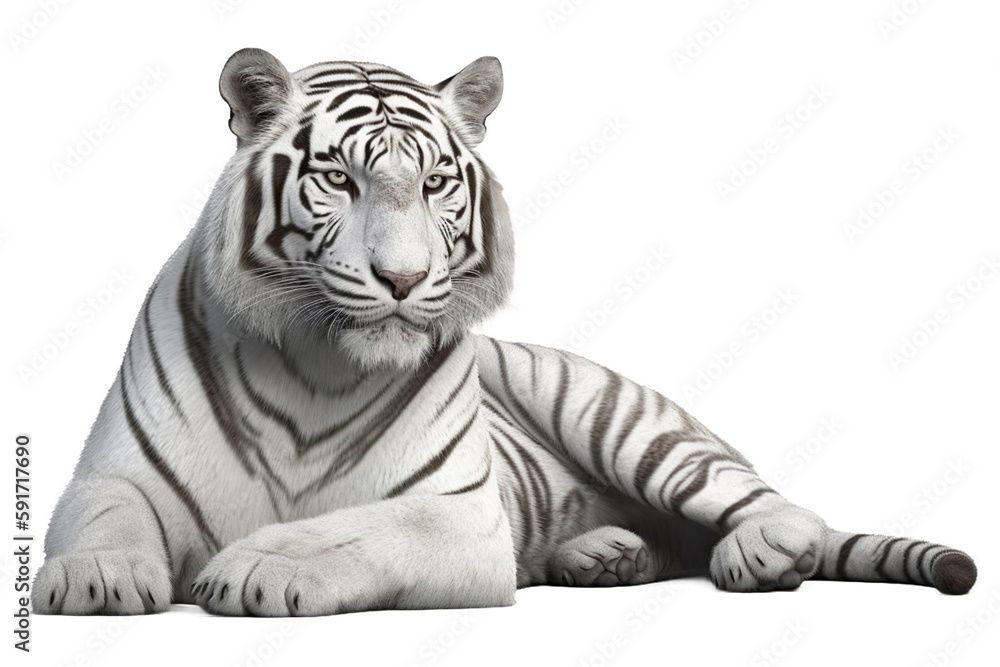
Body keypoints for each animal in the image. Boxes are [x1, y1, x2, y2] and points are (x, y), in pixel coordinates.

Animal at [33, 48, 977, 616]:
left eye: (437, 181)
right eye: (338, 179)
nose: (403, 279)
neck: (317, 361)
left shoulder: (455, 513)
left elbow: (356, 531)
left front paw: (255, 567)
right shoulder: (112, 473)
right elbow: (106, 515)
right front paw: (97, 576)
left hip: (624, 422)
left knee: (777, 508)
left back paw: (758, 551)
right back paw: (606, 553)